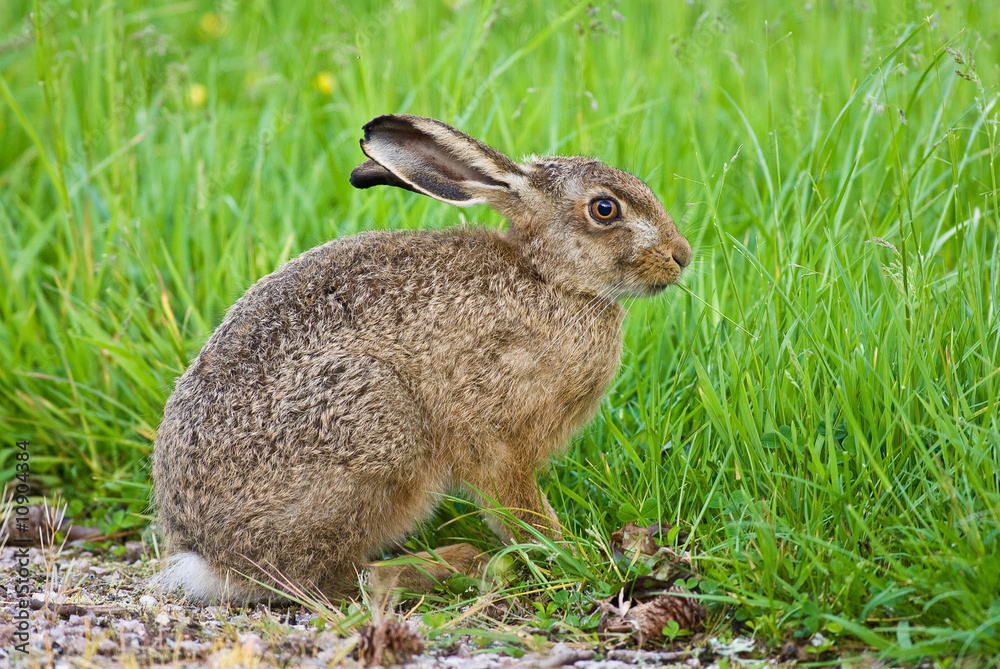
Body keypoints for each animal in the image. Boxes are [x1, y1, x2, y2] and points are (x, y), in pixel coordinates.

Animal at [152, 114, 692, 602]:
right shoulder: (498, 440)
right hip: (377, 428)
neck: (549, 279)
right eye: (604, 208)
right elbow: (519, 513)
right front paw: (573, 554)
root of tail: (209, 559)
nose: (682, 256)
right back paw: (456, 564)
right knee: (328, 579)